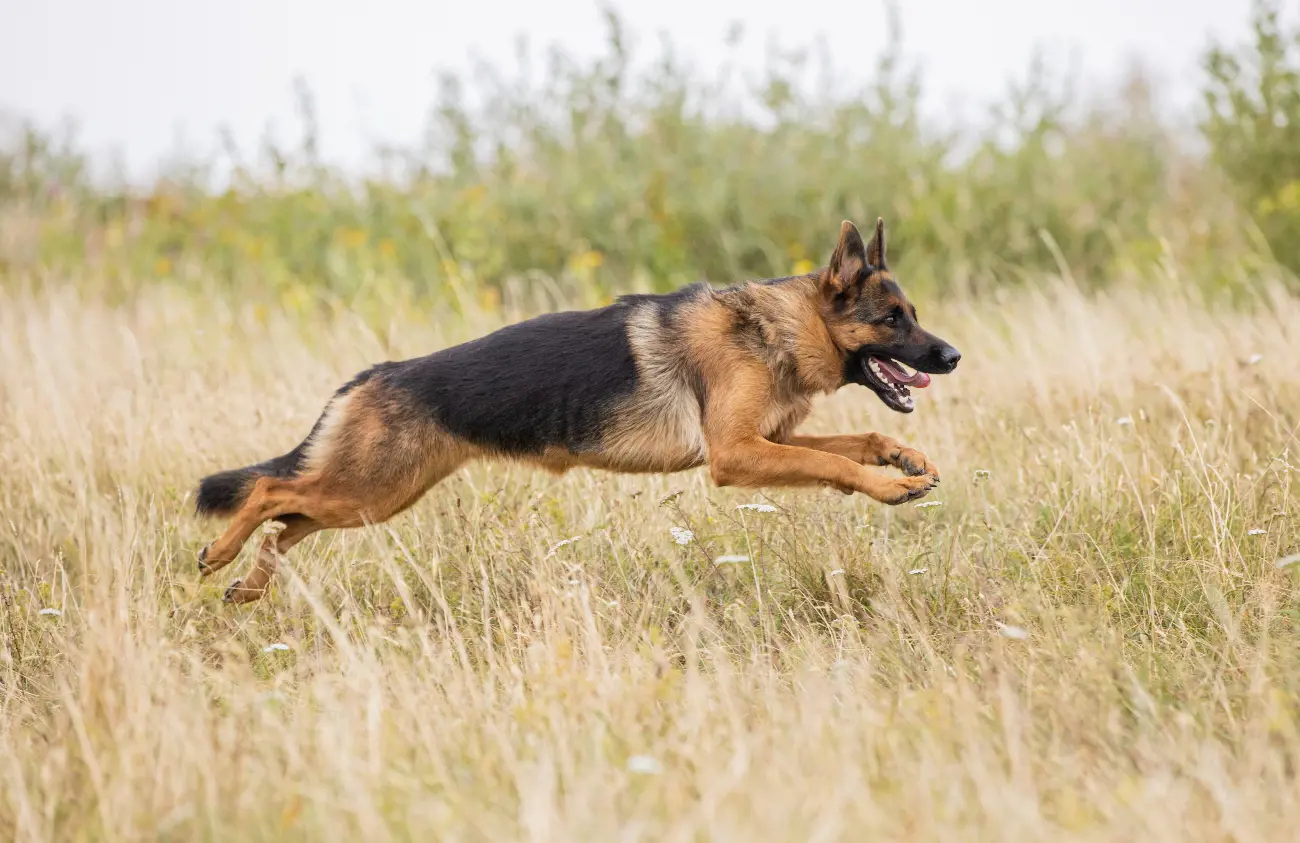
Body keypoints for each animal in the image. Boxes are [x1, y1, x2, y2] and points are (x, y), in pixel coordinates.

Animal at [197, 217, 961, 598]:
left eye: (914, 314)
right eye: (892, 319)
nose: (953, 356)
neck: (780, 326)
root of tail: (375, 373)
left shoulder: (766, 442)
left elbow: (857, 440)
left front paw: (902, 460)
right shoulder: (738, 455)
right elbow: (835, 464)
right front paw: (890, 488)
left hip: (371, 497)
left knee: (285, 523)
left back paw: (246, 585)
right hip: (367, 489)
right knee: (268, 493)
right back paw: (219, 553)